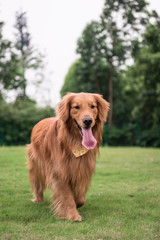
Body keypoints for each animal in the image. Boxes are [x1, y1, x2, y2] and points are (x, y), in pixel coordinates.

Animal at [27, 92, 109, 221]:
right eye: (76, 107)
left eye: (93, 106)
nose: (88, 121)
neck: (75, 142)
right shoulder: (60, 172)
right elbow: (66, 196)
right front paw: (72, 215)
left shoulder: (83, 169)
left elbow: (80, 197)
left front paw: (76, 203)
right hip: (36, 165)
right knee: (36, 183)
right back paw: (38, 199)